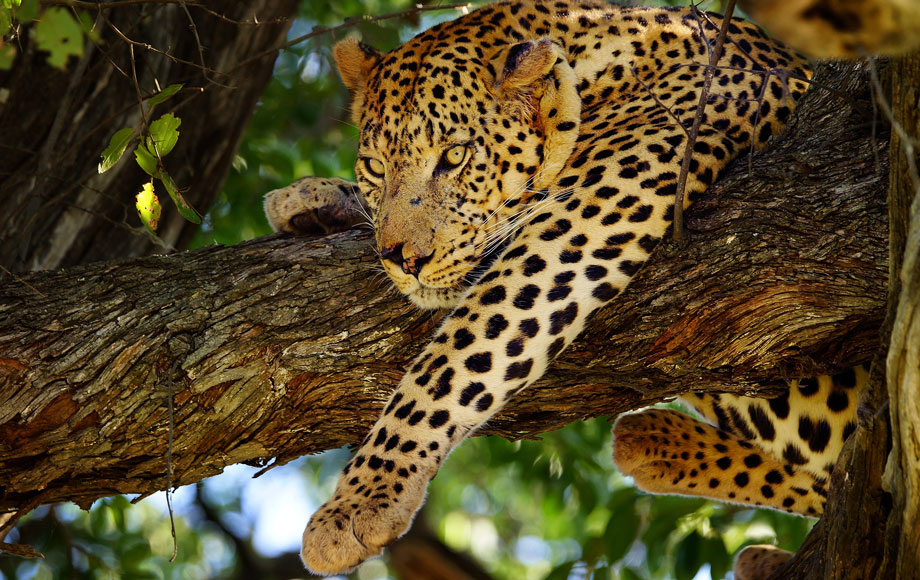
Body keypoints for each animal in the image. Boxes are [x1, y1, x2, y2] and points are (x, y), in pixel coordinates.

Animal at [262, 2, 872, 576]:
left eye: (455, 156)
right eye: (374, 166)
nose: (405, 260)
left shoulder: (590, 211)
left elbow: (456, 356)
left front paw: (362, 500)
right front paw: (309, 197)